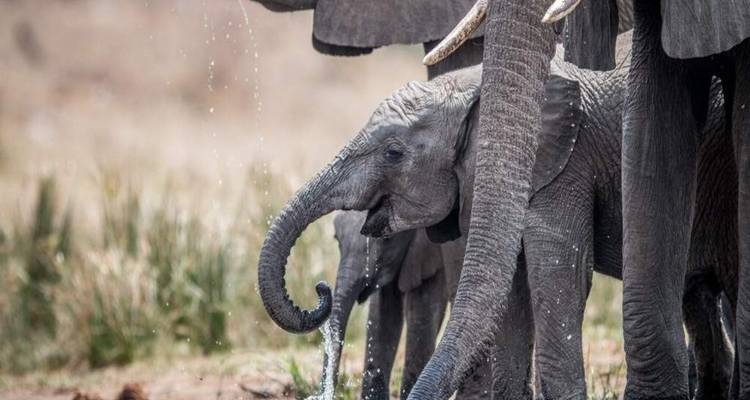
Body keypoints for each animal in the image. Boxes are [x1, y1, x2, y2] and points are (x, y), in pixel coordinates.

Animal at [258, 52, 736, 398]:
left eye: (393, 153)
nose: (317, 290)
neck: (476, 83)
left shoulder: (566, 166)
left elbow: (559, 273)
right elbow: (511, 286)